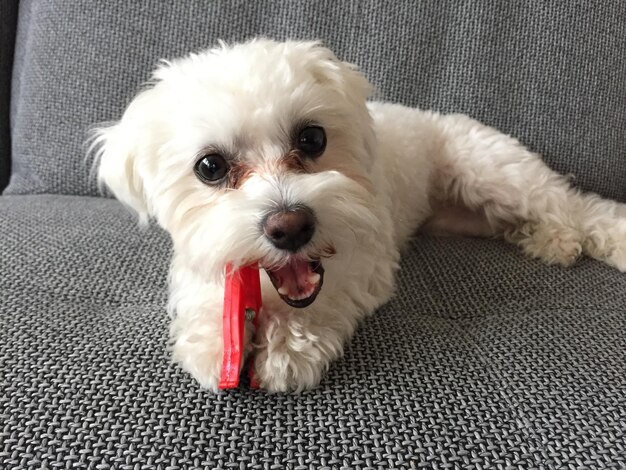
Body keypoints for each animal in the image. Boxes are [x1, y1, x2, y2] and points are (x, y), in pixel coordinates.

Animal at [95, 39, 624, 392]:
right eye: (210, 167)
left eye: (312, 138)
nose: (291, 227)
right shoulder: (204, 248)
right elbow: (206, 284)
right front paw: (213, 338)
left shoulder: (367, 257)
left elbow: (324, 298)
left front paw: (286, 346)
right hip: (471, 213)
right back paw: (550, 240)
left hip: (492, 172)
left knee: (575, 204)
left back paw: (589, 236)